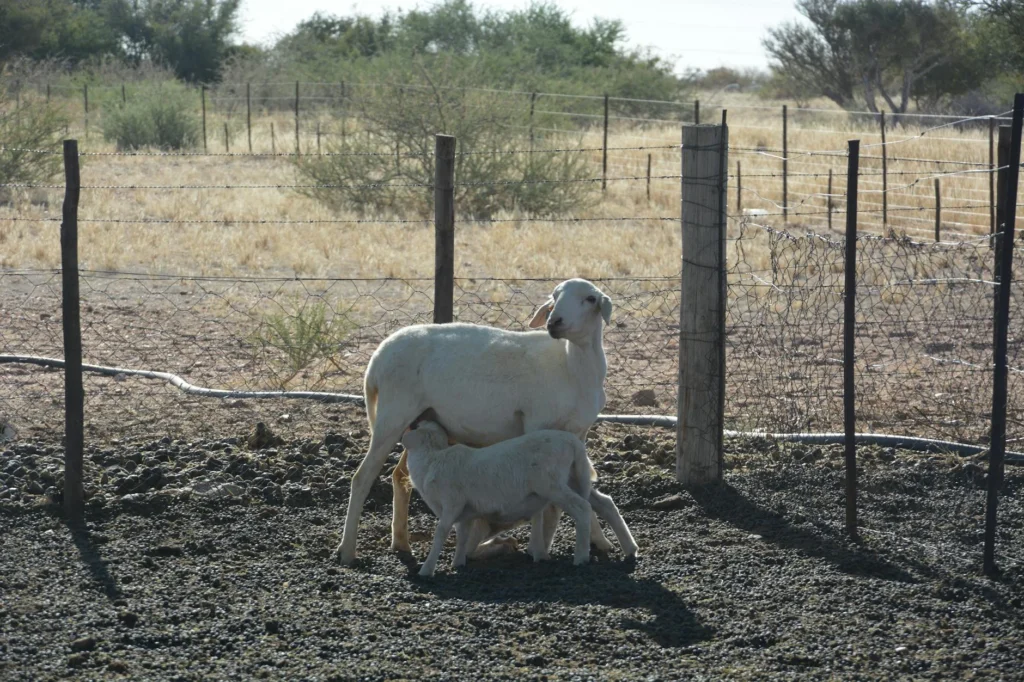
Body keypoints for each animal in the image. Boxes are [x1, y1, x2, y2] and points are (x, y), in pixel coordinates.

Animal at [401, 420, 602, 576]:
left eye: (416, 426)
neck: (430, 460)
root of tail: (573, 443)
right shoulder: (466, 513)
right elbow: (463, 537)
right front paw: (457, 563)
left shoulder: (452, 504)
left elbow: (441, 533)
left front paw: (427, 570)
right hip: (573, 479)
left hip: (552, 486)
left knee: (582, 508)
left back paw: (581, 557)